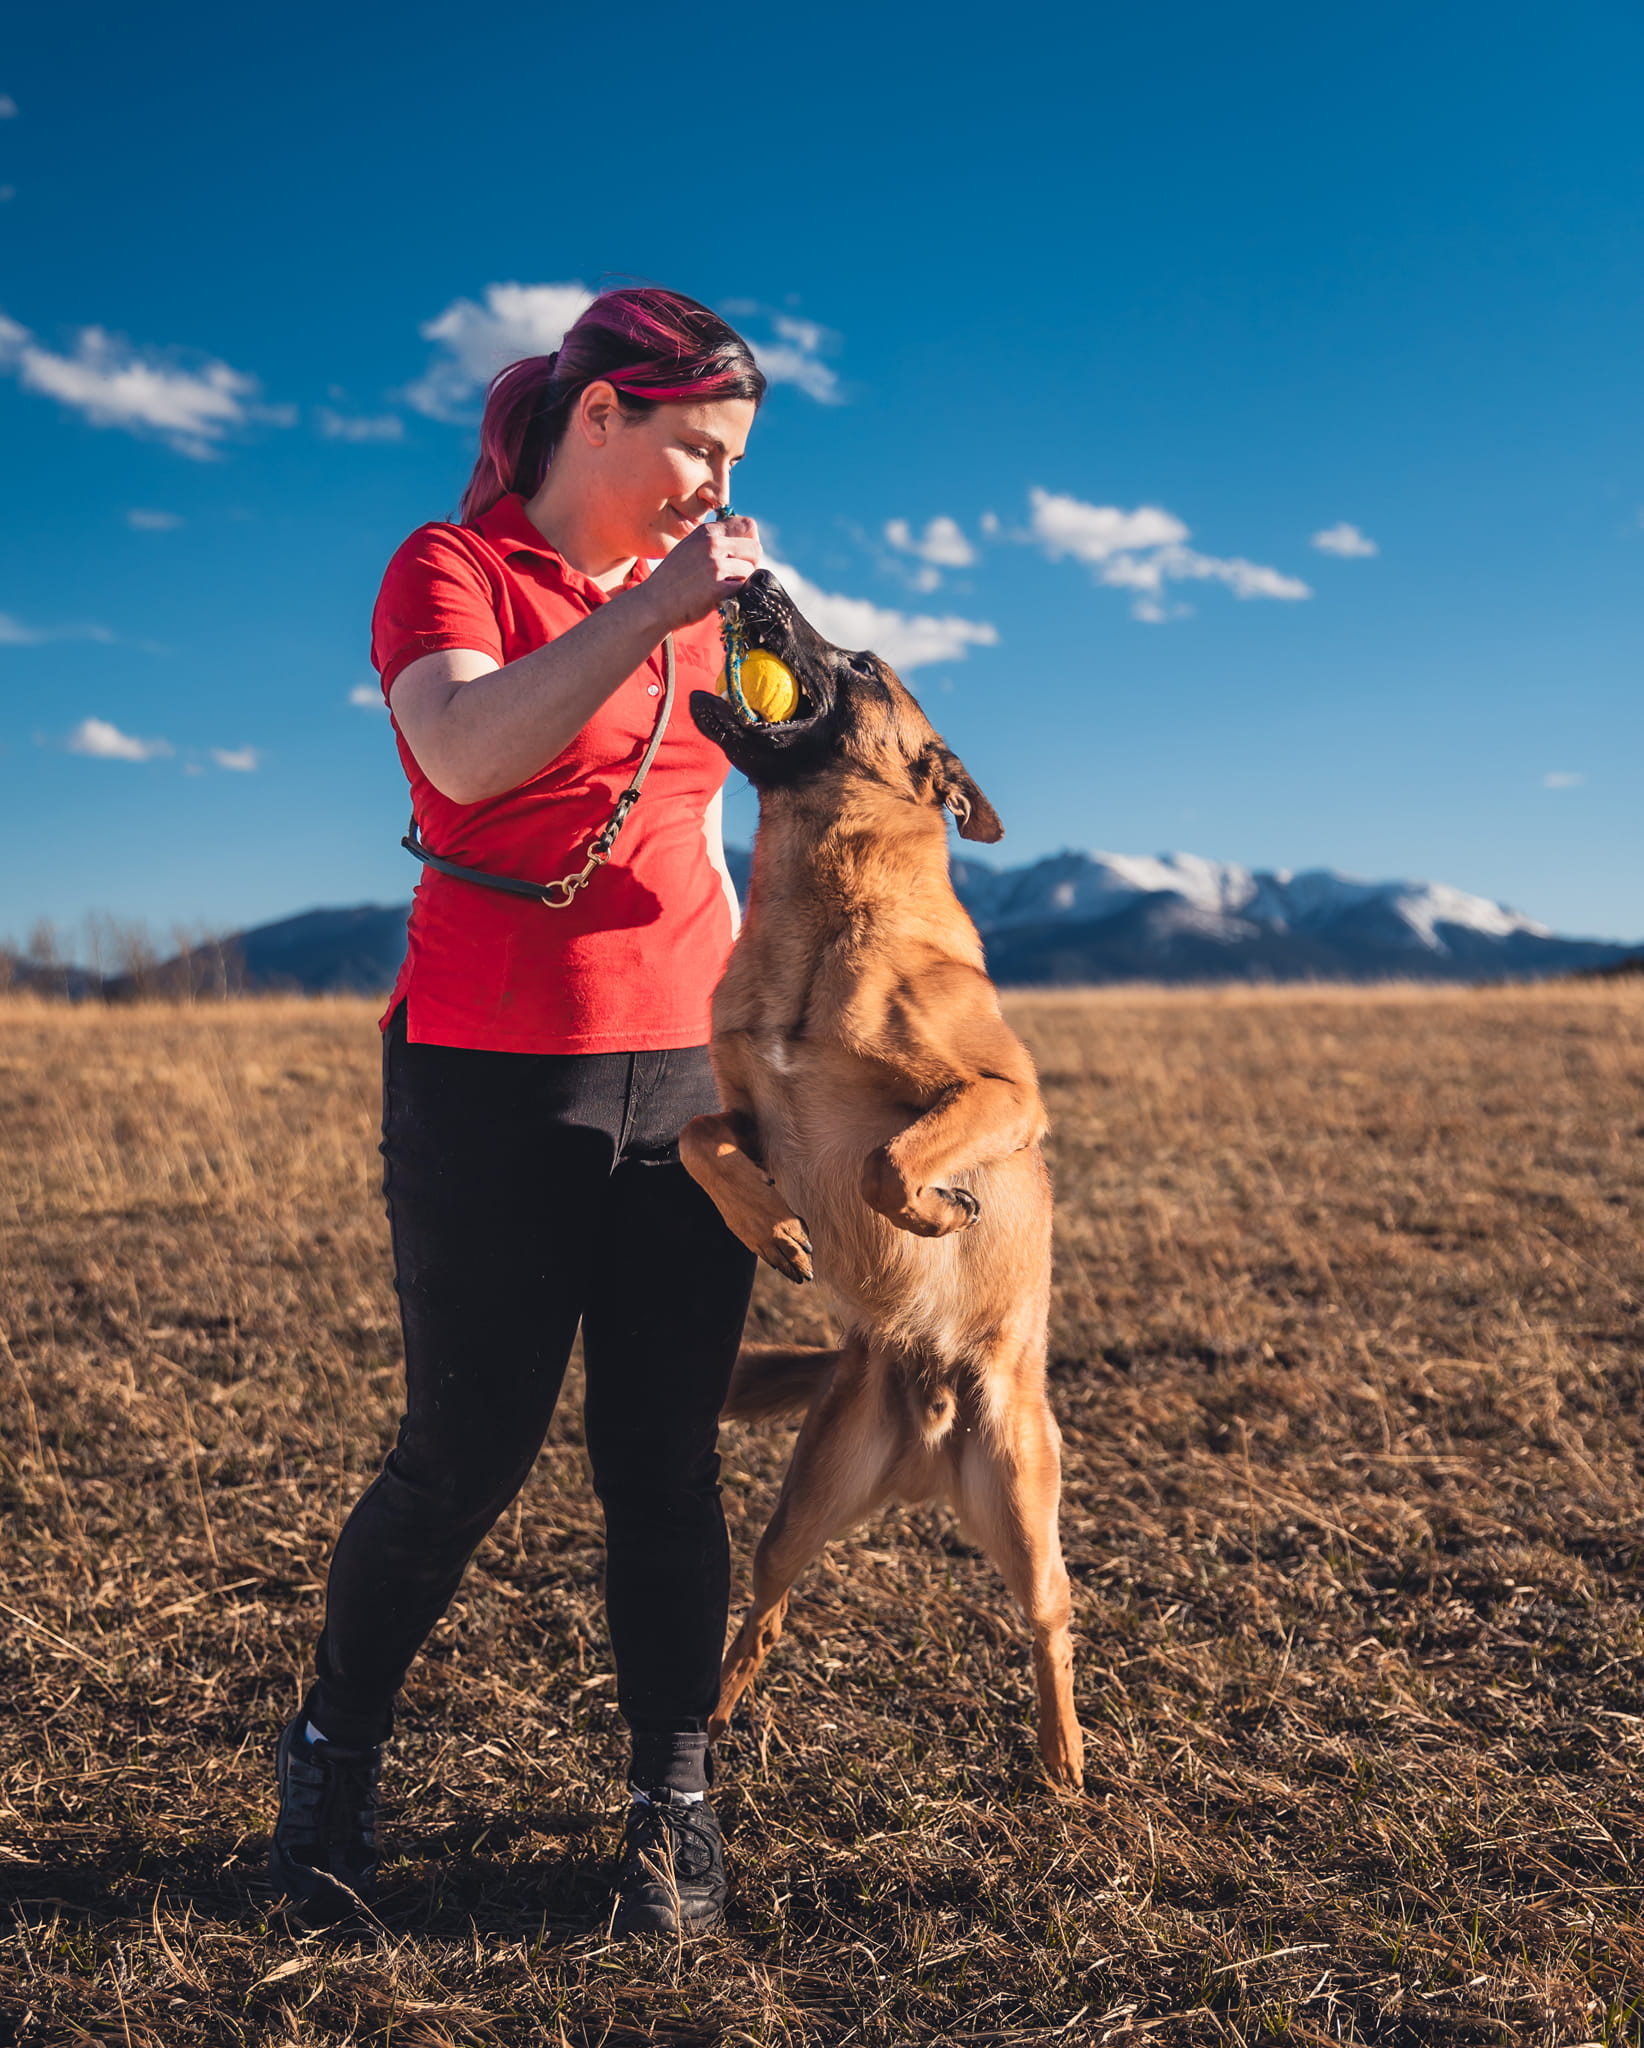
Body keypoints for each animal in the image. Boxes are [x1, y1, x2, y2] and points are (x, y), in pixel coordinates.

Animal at [675, 569, 1089, 1785]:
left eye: (864, 664)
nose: (755, 576)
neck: (818, 915)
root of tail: (929, 1436)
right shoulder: (745, 1114)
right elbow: (702, 1141)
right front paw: (771, 1228)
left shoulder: (1008, 1094)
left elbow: (882, 1157)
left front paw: (935, 1209)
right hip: (803, 1503)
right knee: (764, 1606)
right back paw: (712, 1714)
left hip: (1023, 1508)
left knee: (1052, 1621)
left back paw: (1065, 1760)